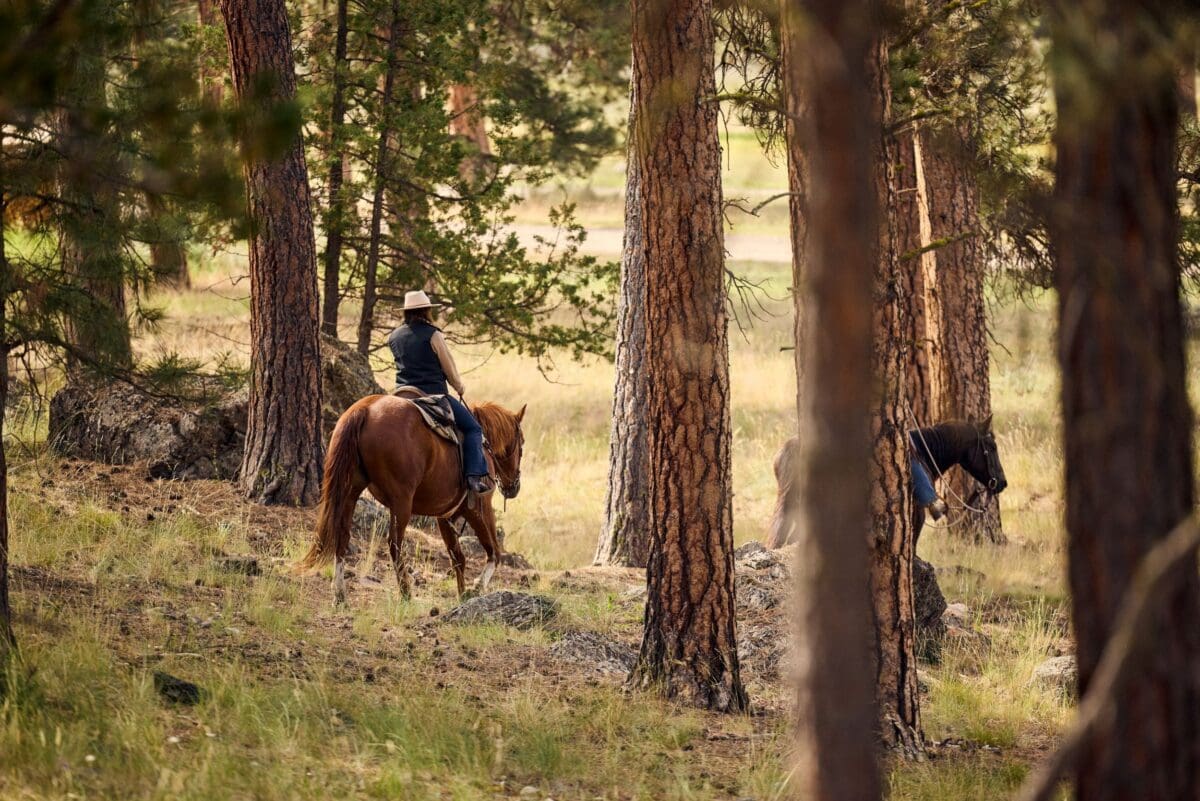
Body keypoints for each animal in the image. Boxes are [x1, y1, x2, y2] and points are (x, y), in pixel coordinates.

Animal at [299, 394, 526, 605]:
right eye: (522, 444)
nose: (514, 487)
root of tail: (366, 408)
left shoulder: (444, 517)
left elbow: (458, 558)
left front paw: (462, 595)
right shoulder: (478, 509)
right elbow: (493, 552)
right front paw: (476, 588)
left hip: (350, 491)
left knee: (342, 535)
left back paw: (339, 594)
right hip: (402, 502)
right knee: (394, 543)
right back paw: (406, 592)